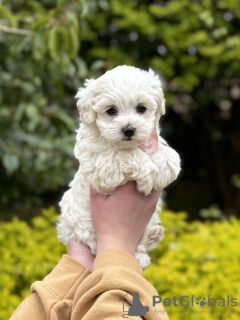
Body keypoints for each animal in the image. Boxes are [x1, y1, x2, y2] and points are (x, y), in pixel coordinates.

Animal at [57, 66, 180, 268]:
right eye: (111, 110)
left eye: (141, 108)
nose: (128, 130)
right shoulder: (102, 167)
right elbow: (126, 155)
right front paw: (149, 176)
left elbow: (171, 155)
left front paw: (163, 170)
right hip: (85, 232)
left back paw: (152, 237)